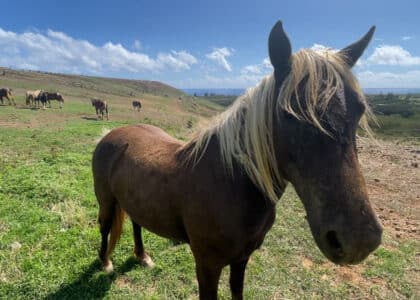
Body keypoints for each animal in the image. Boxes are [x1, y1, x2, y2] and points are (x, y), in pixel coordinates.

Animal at [93, 21, 382, 300]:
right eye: (289, 114)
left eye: (359, 110)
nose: (359, 241)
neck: (229, 183)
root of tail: (112, 133)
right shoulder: (207, 266)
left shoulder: (242, 258)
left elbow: (237, 290)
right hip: (106, 200)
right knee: (105, 226)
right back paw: (105, 262)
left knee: (136, 223)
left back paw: (142, 256)